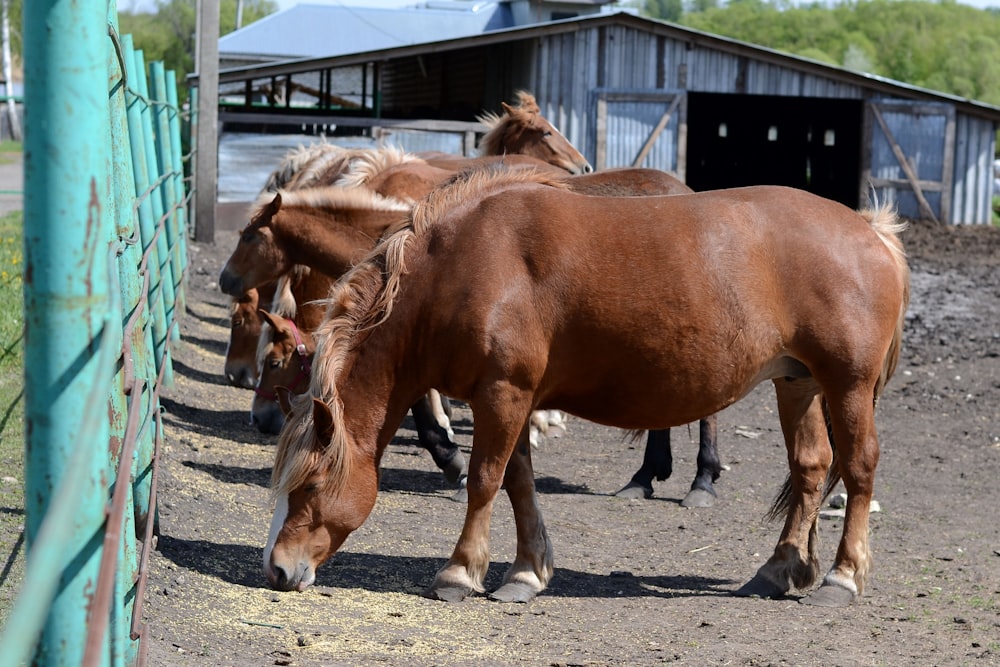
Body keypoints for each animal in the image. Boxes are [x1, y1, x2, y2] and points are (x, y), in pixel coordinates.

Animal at [262, 168, 912, 612]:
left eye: (311, 484)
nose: (277, 570)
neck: (467, 267)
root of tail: (871, 230)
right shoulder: (513, 399)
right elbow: (519, 484)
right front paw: (527, 572)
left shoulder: (502, 393)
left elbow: (484, 481)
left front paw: (460, 572)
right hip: (797, 383)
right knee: (811, 468)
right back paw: (780, 569)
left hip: (847, 386)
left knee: (858, 469)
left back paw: (841, 578)